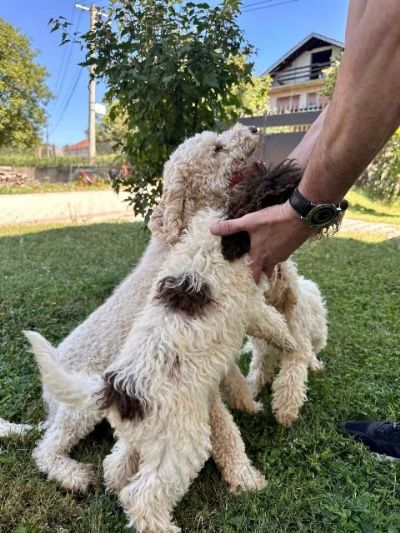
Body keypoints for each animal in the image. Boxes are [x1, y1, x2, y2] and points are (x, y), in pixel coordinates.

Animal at [29, 207, 296, 532]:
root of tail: (116, 391)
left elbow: (234, 379)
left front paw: (250, 402)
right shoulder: (247, 302)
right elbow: (271, 321)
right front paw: (291, 342)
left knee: (115, 468)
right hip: (175, 442)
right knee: (137, 494)